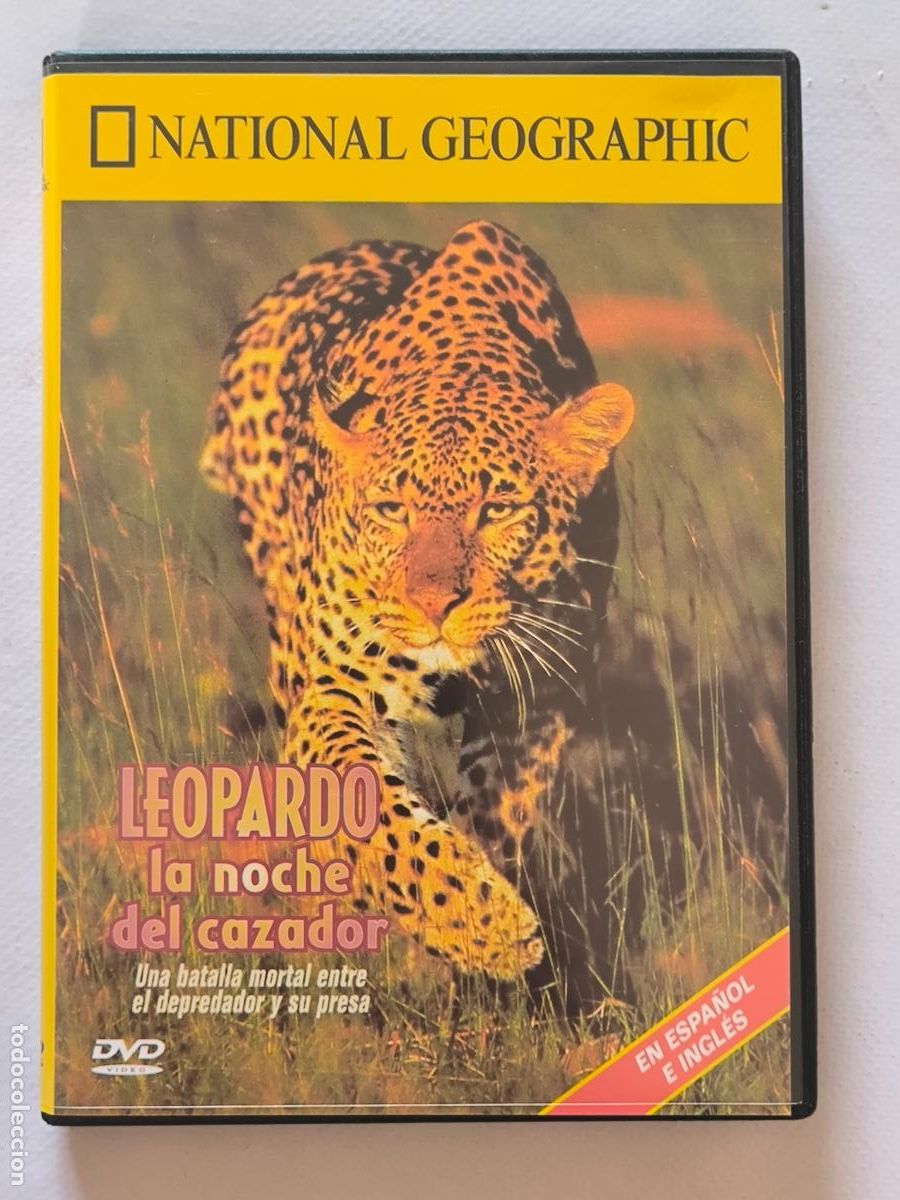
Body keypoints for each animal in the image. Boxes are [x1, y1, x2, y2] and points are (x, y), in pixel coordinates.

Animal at [201, 219, 634, 1005]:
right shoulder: (334, 686)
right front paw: (480, 923)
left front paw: (480, 944)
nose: (434, 604)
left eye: (498, 511)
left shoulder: (541, 695)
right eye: (391, 510)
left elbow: (501, 813)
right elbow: (370, 811)